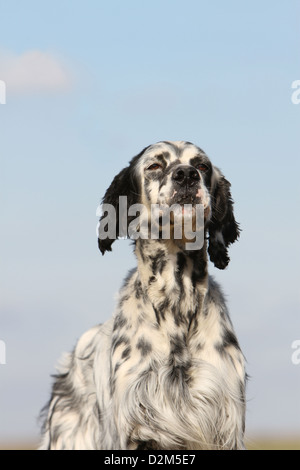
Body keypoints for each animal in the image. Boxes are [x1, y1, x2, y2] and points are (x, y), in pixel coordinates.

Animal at [39, 140, 246, 452]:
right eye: (154, 166)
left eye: (202, 166)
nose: (186, 176)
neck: (175, 304)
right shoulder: (137, 428)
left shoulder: (225, 423)